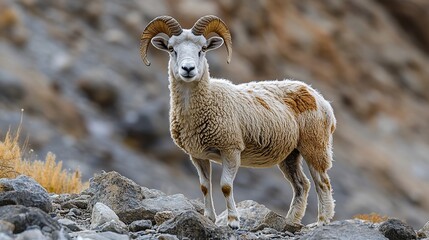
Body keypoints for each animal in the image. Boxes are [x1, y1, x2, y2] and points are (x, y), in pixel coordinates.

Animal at [140, 15, 334, 231]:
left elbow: (225, 186)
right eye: (172, 49)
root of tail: (316, 95)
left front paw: (233, 221)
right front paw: (209, 217)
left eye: (202, 49)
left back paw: (322, 221)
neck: (208, 100)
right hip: (291, 154)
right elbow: (204, 186)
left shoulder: (231, 149)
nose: (188, 69)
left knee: (322, 182)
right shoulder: (197, 155)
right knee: (302, 185)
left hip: (314, 145)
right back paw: (290, 221)